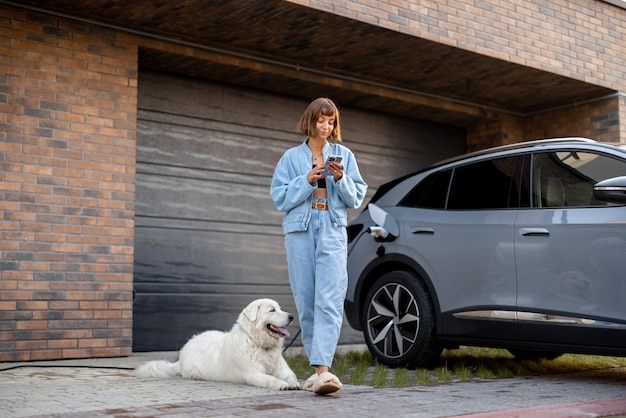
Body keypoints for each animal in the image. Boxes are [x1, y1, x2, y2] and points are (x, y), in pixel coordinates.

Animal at [136, 298, 300, 390]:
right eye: (272, 310)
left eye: (280, 308)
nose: (291, 316)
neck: (259, 344)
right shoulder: (253, 374)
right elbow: (270, 378)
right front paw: (281, 384)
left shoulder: (283, 370)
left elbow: (291, 376)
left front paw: (294, 384)